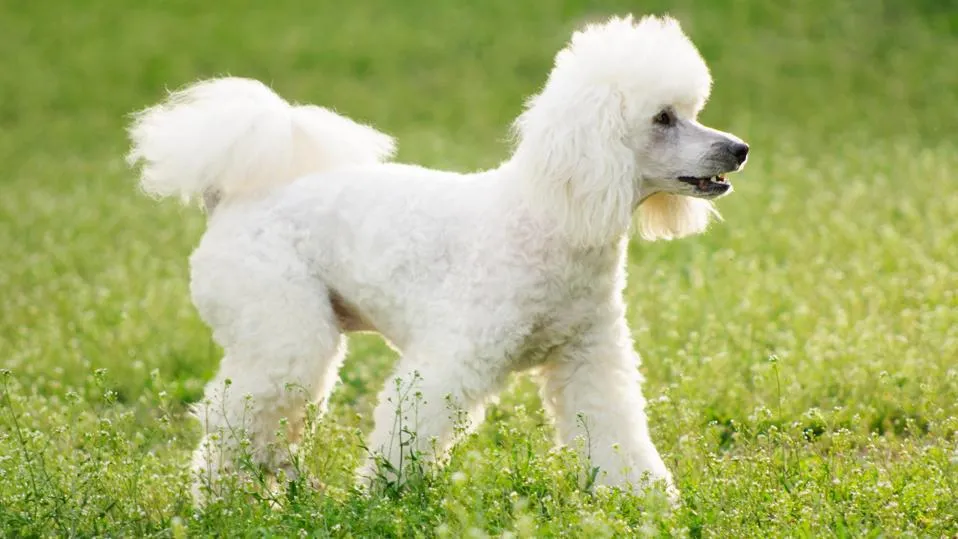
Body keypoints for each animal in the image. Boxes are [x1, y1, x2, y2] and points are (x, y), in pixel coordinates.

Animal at [129, 14, 752, 502]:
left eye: (691, 109)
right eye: (662, 118)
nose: (739, 149)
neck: (549, 218)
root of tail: (228, 200)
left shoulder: (588, 357)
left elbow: (613, 428)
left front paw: (644, 500)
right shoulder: (455, 357)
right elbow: (411, 425)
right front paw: (381, 499)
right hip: (282, 333)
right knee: (232, 420)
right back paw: (220, 502)